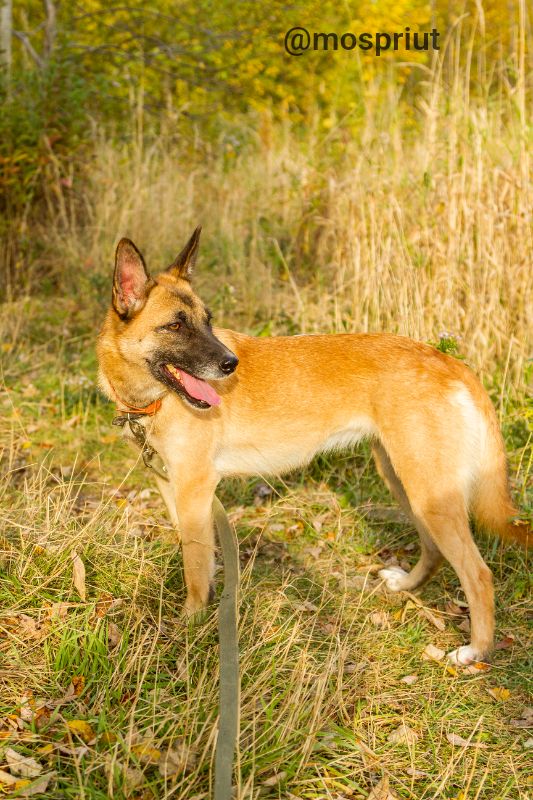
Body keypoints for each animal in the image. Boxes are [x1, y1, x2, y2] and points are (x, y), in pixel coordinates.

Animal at [96, 223, 528, 664]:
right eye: (175, 326)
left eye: (207, 321)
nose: (231, 364)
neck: (154, 398)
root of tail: (450, 362)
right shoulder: (173, 489)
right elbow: (196, 557)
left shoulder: (195, 491)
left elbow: (196, 568)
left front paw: (191, 624)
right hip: (407, 484)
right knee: (435, 551)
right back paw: (406, 586)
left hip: (429, 495)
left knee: (478, 574)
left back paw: (475, 651)